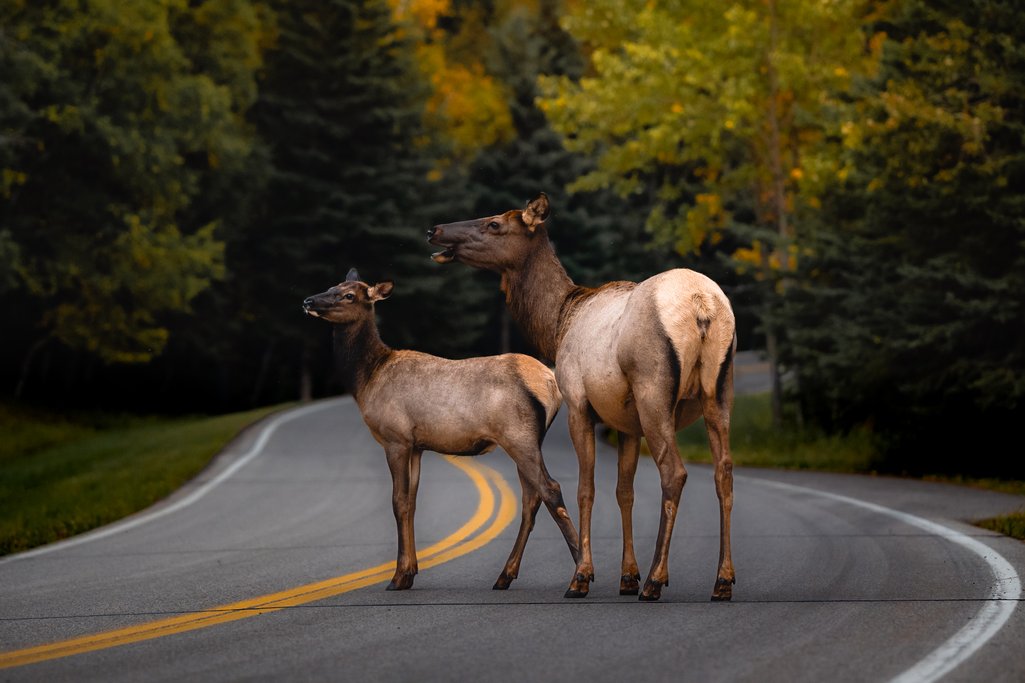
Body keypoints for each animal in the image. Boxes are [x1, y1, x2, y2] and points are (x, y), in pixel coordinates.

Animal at [302, 268, 581, 592]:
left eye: (348, 295)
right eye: (331, 285)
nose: (308, 301)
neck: (367, 380)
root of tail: (550, 383)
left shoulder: (395, 438)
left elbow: (398, 502)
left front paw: (397, 577)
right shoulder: (416, 445)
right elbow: (411, 502)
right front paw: (410, 572)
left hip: (518, 435)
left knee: (550, 489)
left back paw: (579, 576)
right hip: (527, 439)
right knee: (531, 499)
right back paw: (505, 575)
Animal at [427, 193, 737, 602]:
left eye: (494, 223)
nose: (435, 230)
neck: (556, 323)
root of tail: (703, 307)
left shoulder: (578, 402)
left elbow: (586, 489)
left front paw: (583, 576)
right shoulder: (626, 423)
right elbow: (623, 491)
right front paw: (626, 576)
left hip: (653, 390)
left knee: (675, 472)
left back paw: (656, 579)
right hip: (720, 390)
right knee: (724, 473)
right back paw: (722, 580)